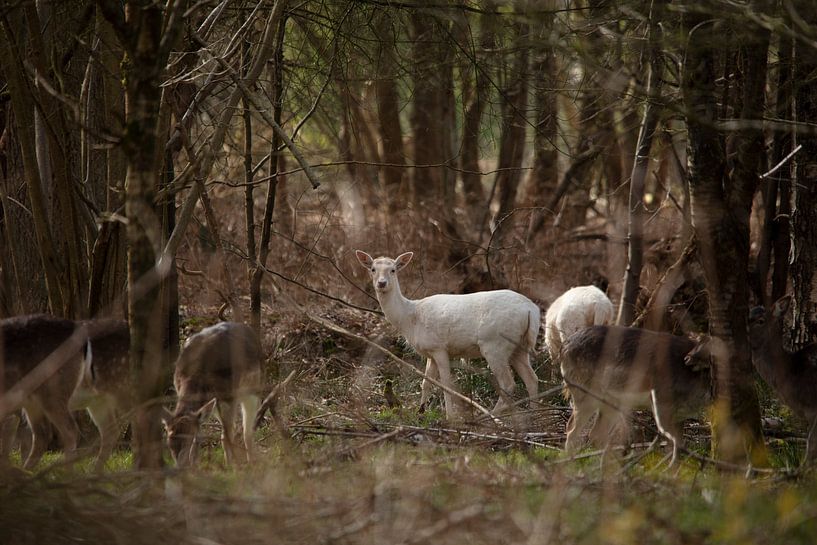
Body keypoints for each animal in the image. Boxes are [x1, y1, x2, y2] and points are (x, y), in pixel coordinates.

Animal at [164, 322, 263, 467]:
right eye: (169, 444)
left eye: (188, 441)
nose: (181, 466)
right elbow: (201, 434)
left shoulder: (229, 397)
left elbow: (225, 437)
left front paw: (229, 466)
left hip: (253, 389)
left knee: (246, 430)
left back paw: (251, 462)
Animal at [355, 250, 540, 420]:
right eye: (372, 269)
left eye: (393, 270)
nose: (382, 283)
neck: (409, 318)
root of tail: (531, 310)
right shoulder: (429, 352)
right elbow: (426, 383)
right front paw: (420, 412)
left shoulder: (439, 347)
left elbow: (446, 384)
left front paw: (449, 417)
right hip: (519, 347)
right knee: (532, 379)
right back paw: (535, 414)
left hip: (495, 344)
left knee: (508, 384)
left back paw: (490, 416)